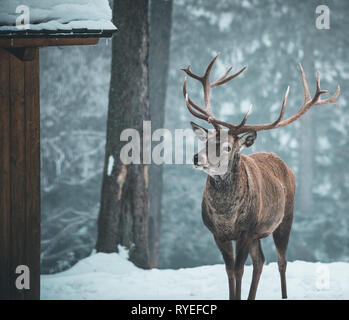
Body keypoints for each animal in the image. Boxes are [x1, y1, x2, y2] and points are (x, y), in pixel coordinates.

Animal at [181, 52, 338, 300]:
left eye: (227, 147)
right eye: (206, 141)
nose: (197, 158)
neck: (226, 217)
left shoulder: (246, 230)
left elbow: (238, 270)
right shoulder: (218, 234)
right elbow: (229, 271)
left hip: (286, 217)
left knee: (281, 261)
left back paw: (284, 295)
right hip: (258, 233)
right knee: (260, 261)